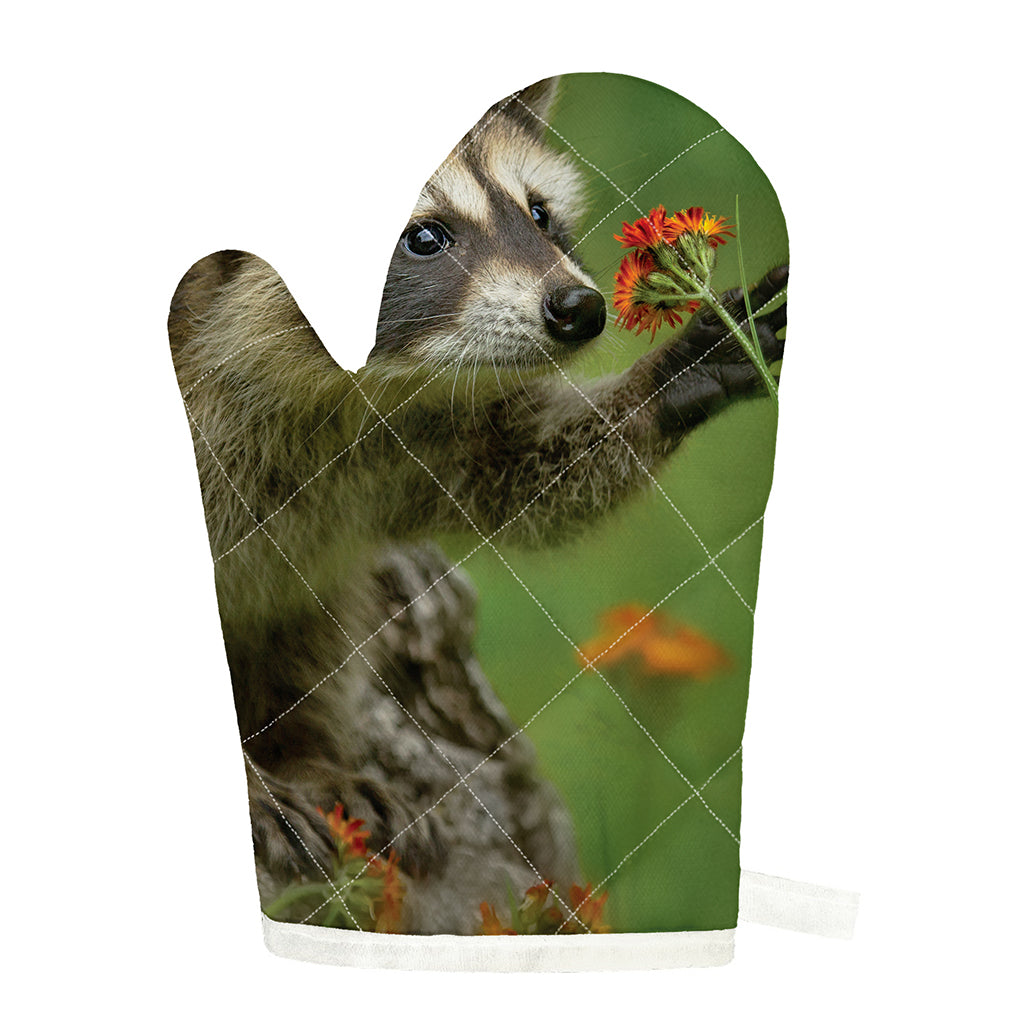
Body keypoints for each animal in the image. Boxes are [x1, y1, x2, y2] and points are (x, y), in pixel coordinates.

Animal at [169, 78, 786, 935]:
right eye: (423, 238)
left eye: (539, 214)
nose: (580, 308)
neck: (344, 390)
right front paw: (253, 777)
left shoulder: (413, 437)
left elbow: (516, 477)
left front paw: (668, 377)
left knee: (311, 617)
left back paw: (305, 744)